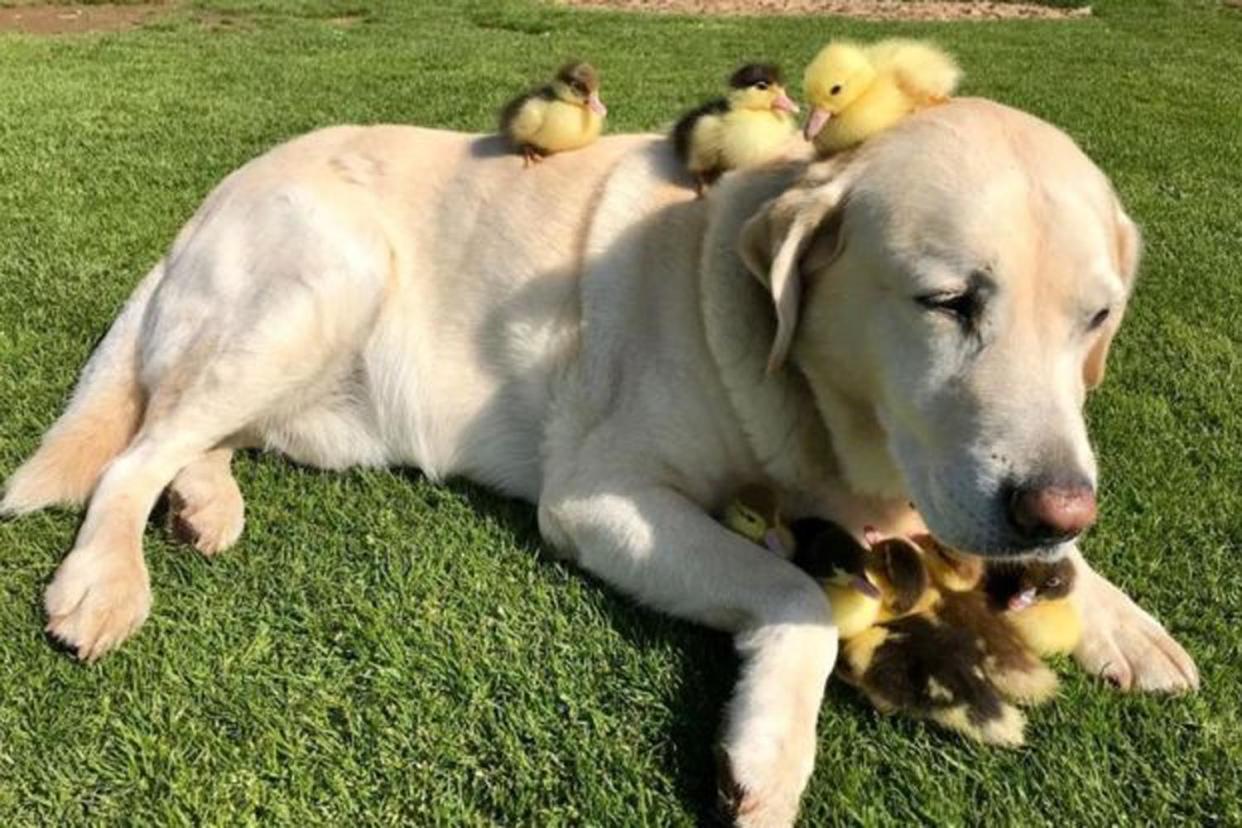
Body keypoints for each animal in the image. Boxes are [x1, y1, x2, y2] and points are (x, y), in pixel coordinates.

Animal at [4, 100, 1197, 824]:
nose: (1056, 510)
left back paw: (205, 503)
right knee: (136, 450)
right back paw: (105, 580)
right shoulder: (601, 496)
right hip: (330, 272)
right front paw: (768, 752)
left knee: (191, 437)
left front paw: (1125, 621)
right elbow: (798, 596)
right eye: (948, 302)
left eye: (1097, 320)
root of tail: (202, 208)